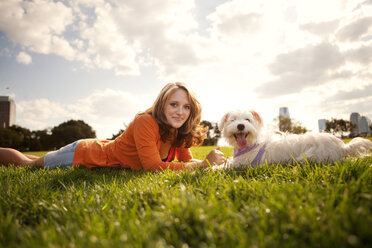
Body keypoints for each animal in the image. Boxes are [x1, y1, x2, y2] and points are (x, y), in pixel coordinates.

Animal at [218, 109, 372, 168]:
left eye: (247, 119)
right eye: (232, 120)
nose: (240, 126)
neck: (250, 144)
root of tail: (342, 147)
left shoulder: (241, 163)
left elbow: (224, 165)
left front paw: (213, 168)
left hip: (310, 156)